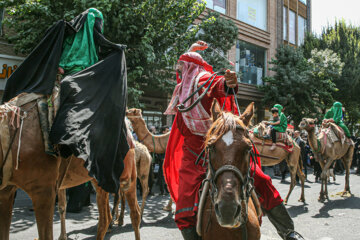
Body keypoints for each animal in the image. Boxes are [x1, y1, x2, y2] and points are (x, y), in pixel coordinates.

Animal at [0, 94, 141, 240]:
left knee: (134, 212)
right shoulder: (7, 189)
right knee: (105, 217)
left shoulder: (43, 189)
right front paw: (63, 236)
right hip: (99, 180)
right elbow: (62, 207)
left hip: (127, 176)